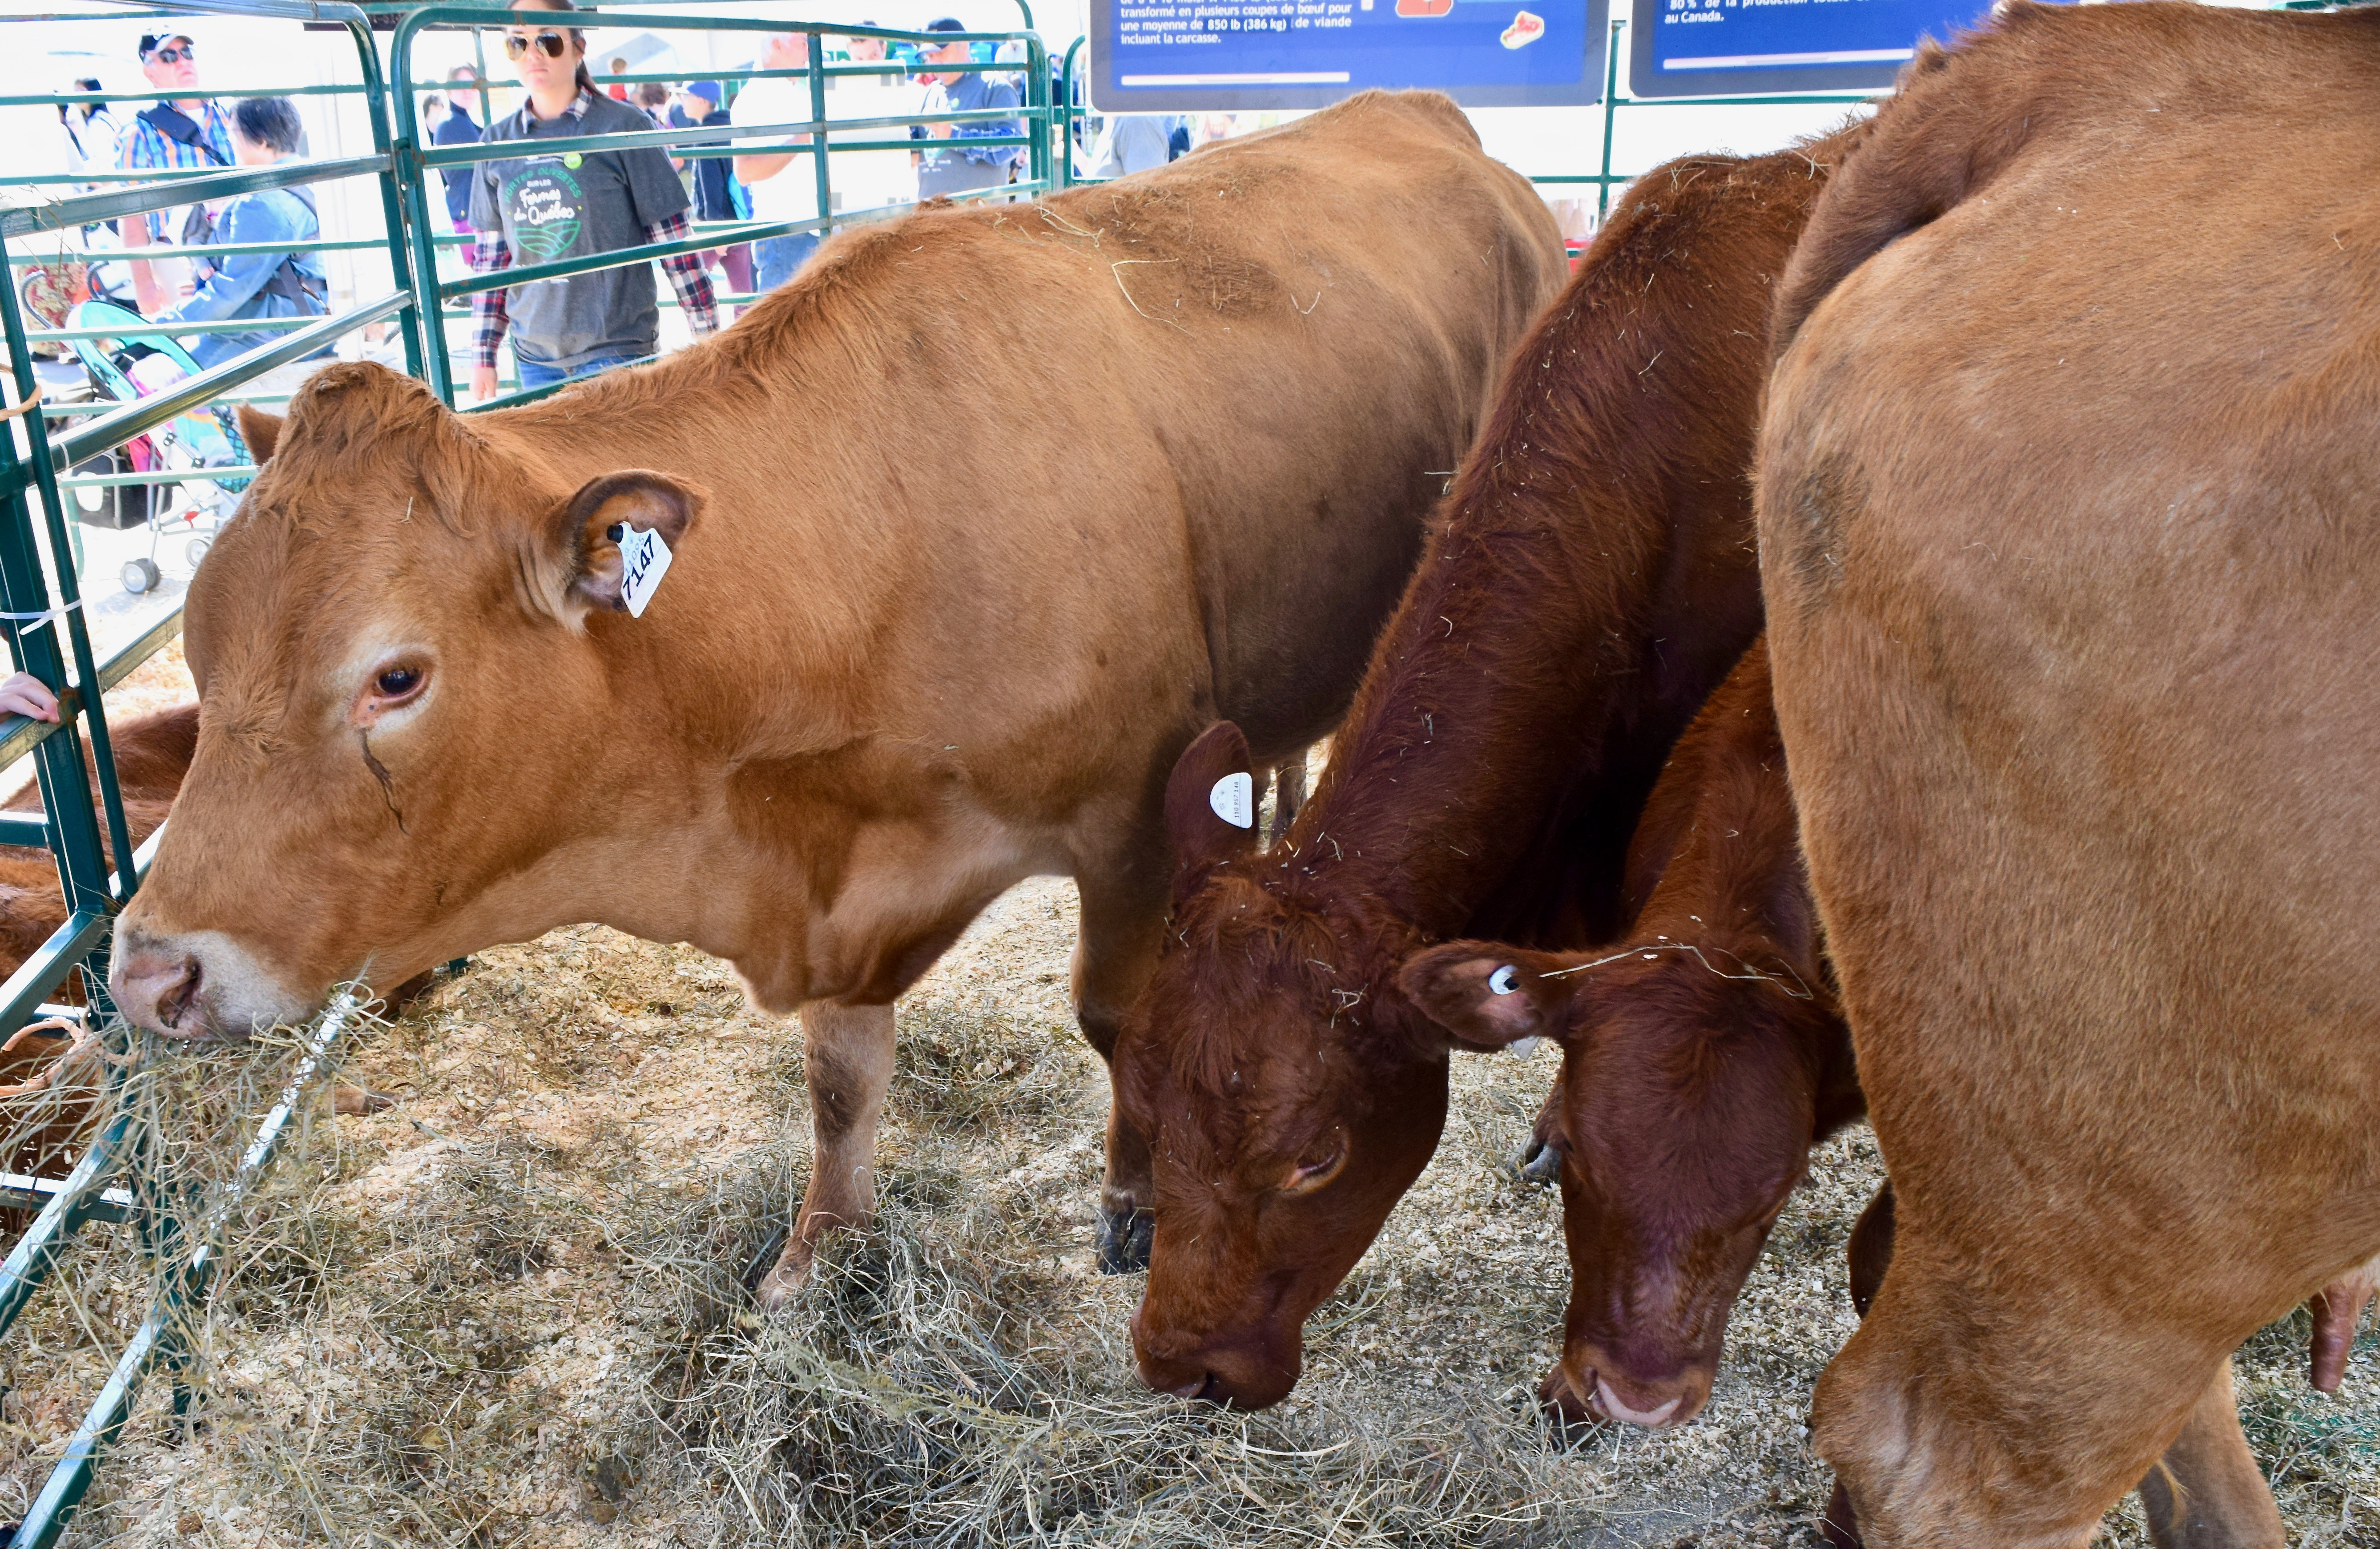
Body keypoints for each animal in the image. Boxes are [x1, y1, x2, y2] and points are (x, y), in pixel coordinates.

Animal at [100, 90, 1569, 1305]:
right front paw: (818, 1251)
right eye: (202, 653)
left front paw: (1138, 1202)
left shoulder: (1128, 817)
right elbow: (840, 1081)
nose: (149, 973)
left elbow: (1119, 1019)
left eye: (395, 676)